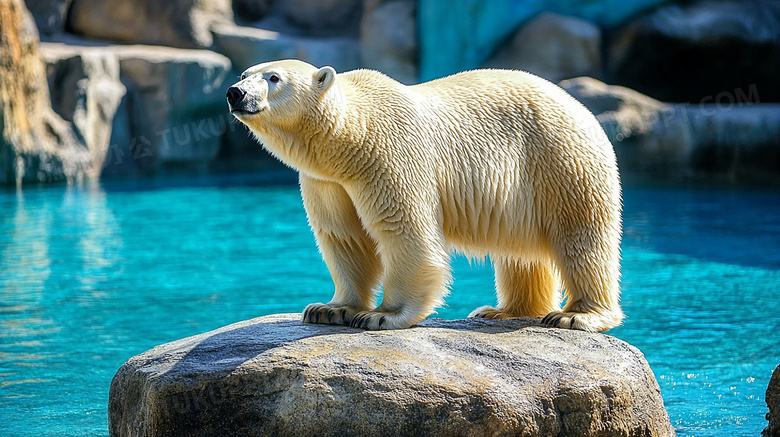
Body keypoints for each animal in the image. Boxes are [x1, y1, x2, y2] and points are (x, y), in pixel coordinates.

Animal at [225, 58, 620, 330]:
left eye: (274, 78)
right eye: (245, 74)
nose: (235, 92)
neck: (352, 135)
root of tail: (582, 108)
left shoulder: (389, 154)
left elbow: (405, 231)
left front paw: (383, 315)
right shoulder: (327, 181)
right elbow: (346, 237)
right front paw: (329, 309)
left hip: (560, 161)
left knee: (582, 238)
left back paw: (576, 316)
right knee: (521, 253)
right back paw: (502, 311)